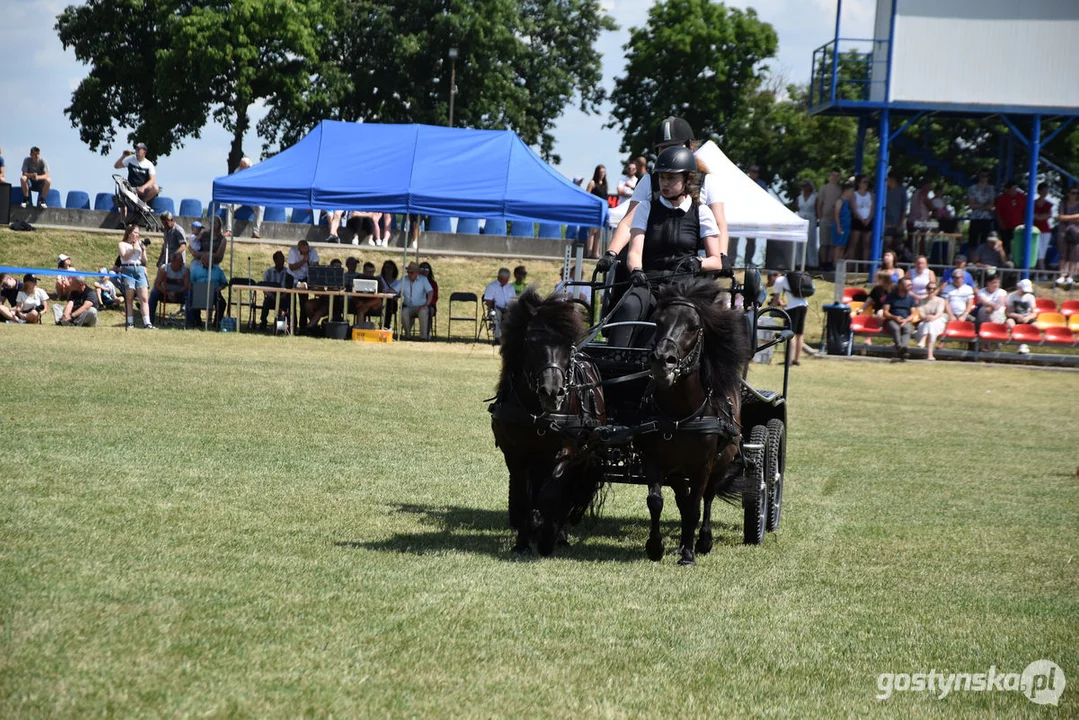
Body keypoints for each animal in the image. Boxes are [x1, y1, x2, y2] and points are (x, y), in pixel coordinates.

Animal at [492, 289, 608, 557]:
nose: (552, 393)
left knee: (566, 492)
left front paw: (546, 538)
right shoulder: (515, 455)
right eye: (530, 343)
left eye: (568, 346)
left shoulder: (568, 451)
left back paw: (559, 534)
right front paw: (523, 542)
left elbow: (552, 496)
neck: (538, 414)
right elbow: (523, 498)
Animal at [638, 278, 750, 565]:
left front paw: (689, 554)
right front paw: (655, 546)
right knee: (682, 499)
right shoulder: (654, 461)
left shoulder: (703, 466)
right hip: (679, 471)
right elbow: (656, 501)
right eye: (658, 321)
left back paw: (702, 541)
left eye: (694, 327)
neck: (680, 416)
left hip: (720, 464)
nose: (662, 361)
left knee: (707, 498)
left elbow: (695, 508)